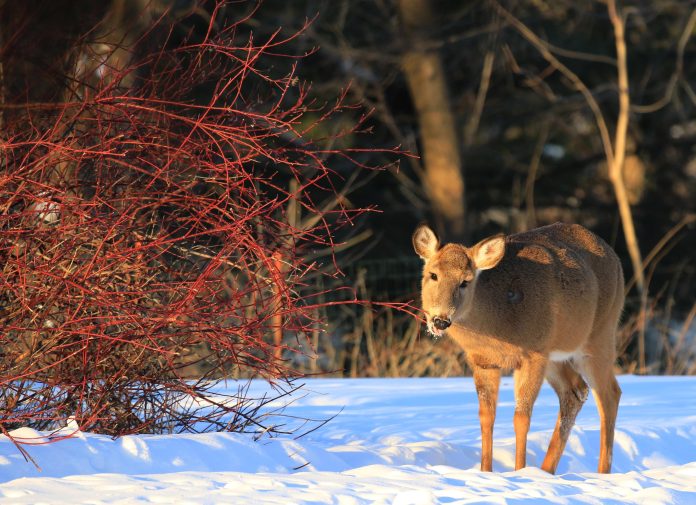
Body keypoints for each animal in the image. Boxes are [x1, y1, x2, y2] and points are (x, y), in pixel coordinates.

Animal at [414, 220, 624, 472]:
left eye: (465, 281)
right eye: (433, 274)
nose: (440, 320)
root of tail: (614, 256)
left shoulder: (533, 355)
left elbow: (521, 417)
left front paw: (520, 471)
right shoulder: (482, 361)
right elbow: (486, 415)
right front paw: (486, 471)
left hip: (599, 334)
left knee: (609, 394)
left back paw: (602, 473)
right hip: (555, 355)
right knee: (576, 391)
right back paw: (546, 470)